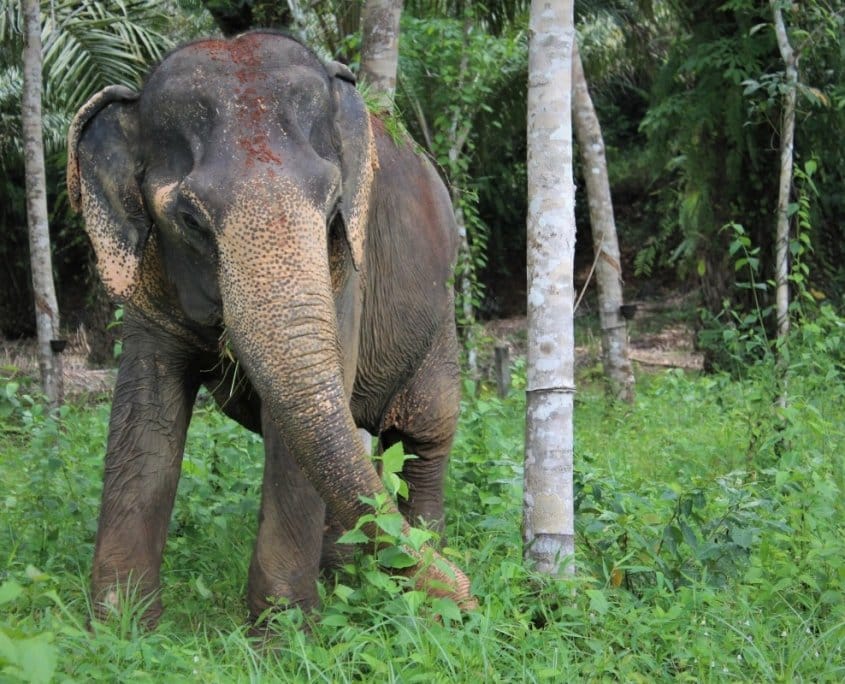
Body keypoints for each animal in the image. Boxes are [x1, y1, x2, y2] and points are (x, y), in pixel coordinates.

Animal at [66, 30, 473, 626]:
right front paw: (121, 628)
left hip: (439, 316)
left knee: (423, 435)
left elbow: (300, 427)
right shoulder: (149, 282)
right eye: (189, 220)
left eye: (332, 204)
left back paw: (419, 562)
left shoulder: (346, 270)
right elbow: (145, 415)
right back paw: (355, 575)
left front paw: (282, 636)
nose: (471, 594)